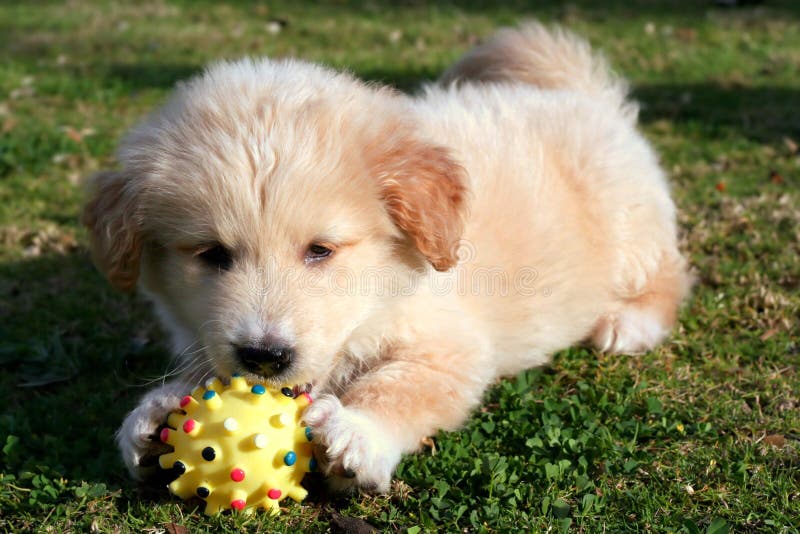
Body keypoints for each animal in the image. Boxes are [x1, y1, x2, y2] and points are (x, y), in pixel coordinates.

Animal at [84, 24, 692, 494]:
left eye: (321, 250)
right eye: (211, 254)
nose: (264, 356)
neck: (383, 295)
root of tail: (584, 97)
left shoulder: (451, 346)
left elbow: (402, 387)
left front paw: (358, 431)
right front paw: (152, 416)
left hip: (630, 228)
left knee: (671, 273)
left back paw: (630, 323)